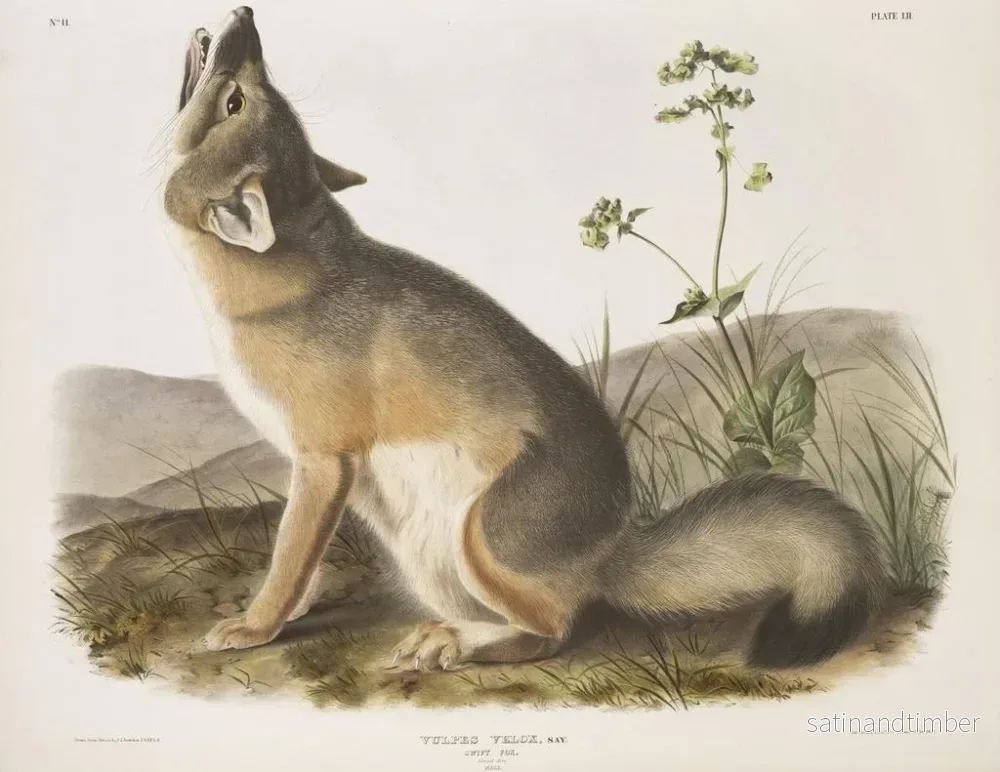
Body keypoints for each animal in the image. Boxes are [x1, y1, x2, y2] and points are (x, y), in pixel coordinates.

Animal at [162, 6, 887, 671]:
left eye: (240, 98)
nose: (246, 16)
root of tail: (614, 548)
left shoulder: (323, 462)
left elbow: (289, 555)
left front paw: (255, 626)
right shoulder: (322, 474)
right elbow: (302, 562)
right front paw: (292, 609)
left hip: (480, 537)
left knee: (554, 629)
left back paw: (453, 642)